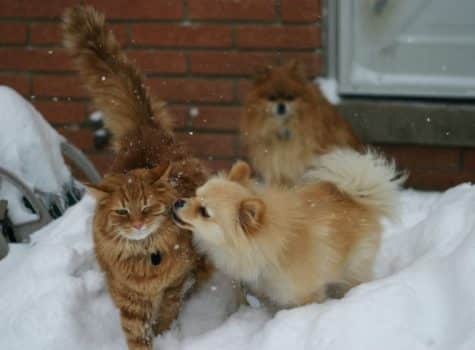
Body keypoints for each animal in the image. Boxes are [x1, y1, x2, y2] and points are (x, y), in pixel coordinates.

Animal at [62, 5, 211, 350]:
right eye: (121, 211)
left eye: (146, 207)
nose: (138, 224)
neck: (146, 259)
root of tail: (144, 130)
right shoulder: (128, 298)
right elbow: (138, 334)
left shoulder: (175, 284)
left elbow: (167, 313)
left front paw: (166, 334)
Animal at [173, 149, 404, 308]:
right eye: (195, 194)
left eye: (204, 212)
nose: (177, 202)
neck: (270, 249)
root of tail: (357, 196)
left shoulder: (304, 295)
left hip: (354, 268)